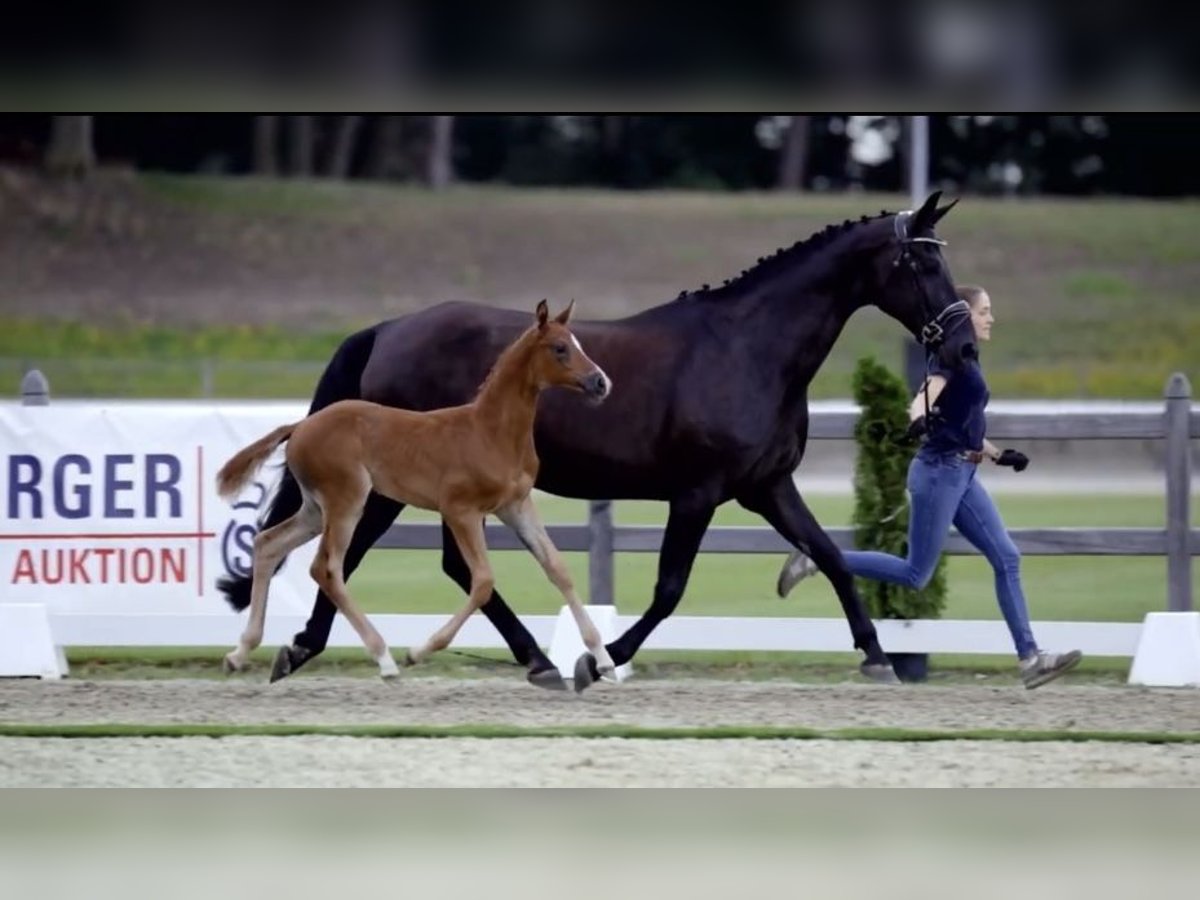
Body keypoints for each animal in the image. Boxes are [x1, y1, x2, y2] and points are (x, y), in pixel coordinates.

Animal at [213, 301, 619, 681]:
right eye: (560, 348)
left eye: (578, 344)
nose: (601, 383)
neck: (490, 432)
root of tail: (299, 426)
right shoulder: (460, 510)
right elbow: (482, 581)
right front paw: (419, 651)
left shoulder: (516, 506)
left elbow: (557, 568)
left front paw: (603, 660)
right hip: (347, 501)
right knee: (326, 568)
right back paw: (385, 659)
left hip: (315, 508)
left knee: (268, 543)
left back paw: (240, 652)